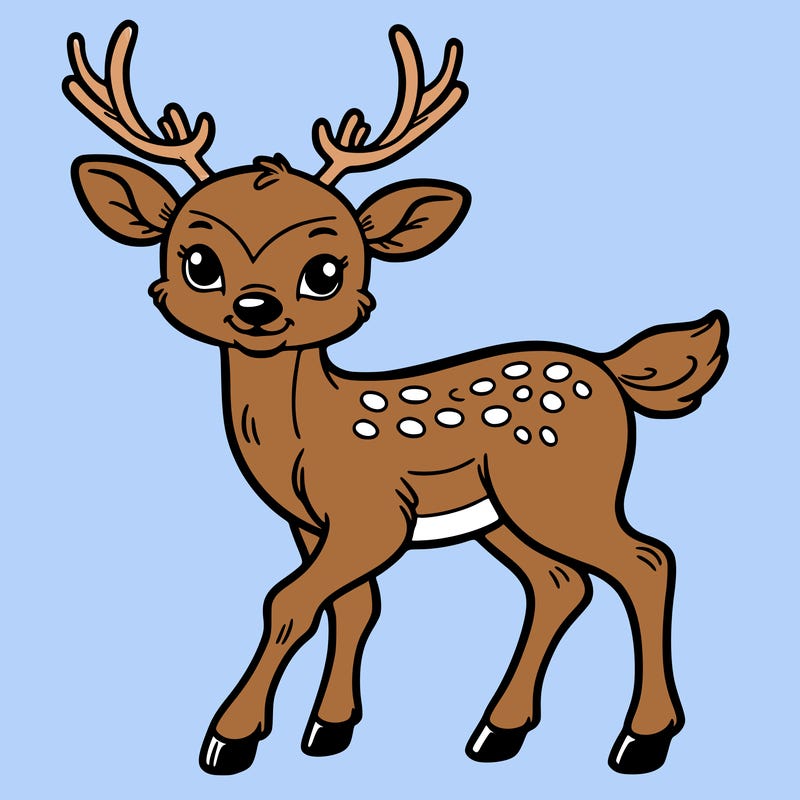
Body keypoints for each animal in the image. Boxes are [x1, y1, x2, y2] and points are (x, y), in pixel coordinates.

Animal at [64, 20, 728, 776]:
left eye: (325, 270)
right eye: (199, 262)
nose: (256, 309)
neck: (307, 435)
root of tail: (611, 371)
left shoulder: (371, 514)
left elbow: (288, 601)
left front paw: (230, 739)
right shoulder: (313, 524)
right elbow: (354, 605)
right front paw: (328, 729)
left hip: (563, 489)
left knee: (646, 561)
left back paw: (641, 740)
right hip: (504, 514)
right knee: (561, 583)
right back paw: (498, 731)